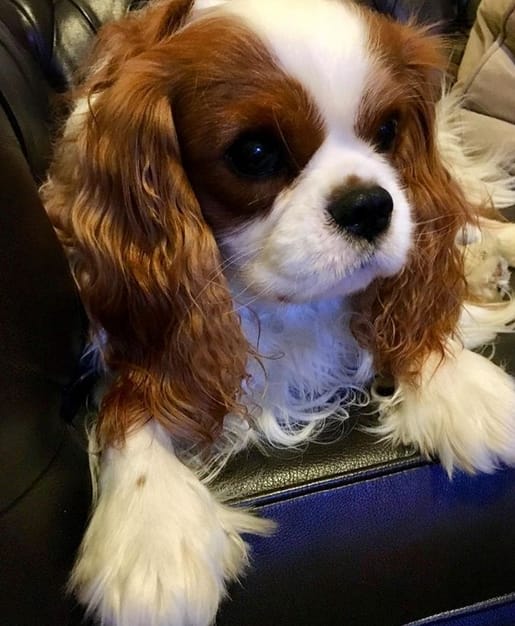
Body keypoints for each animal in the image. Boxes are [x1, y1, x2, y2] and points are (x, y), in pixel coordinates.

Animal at [41, 0, 515, 624]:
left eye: (388, 131)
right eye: (255, 153)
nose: (370, 205)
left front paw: (458, 383)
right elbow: (130, 398)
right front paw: (152, 532)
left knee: (471, 209)